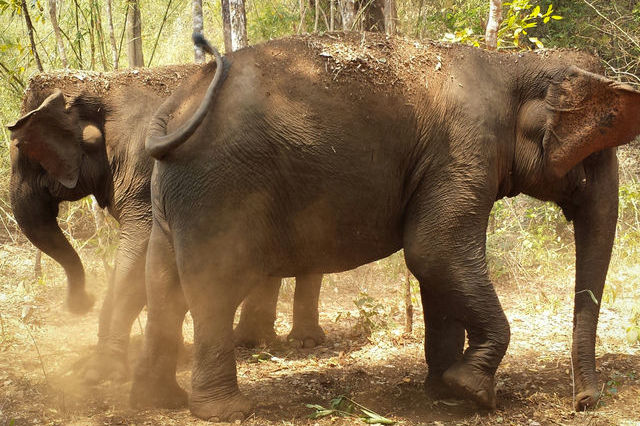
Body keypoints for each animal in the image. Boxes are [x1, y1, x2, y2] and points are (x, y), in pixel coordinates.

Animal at [8, 65, 328, 382]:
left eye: (25, 152)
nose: (82, 302)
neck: (102, 87)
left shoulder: (147, 175)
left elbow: (138, 255)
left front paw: (103, 371)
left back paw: (303, 341)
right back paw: (252, 341)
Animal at [130, 32, 640, 420]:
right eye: (596, 152)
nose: (585, 402)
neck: (513, 64)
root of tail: (174, 106)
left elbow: (437, 267)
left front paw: (443, 389)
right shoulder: (464, 148)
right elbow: (433, 249)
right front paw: (473, 390)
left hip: (174, 197)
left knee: (162, 283)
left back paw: (160, 399)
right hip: (221, 191)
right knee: (214, 286)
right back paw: (226, 410)